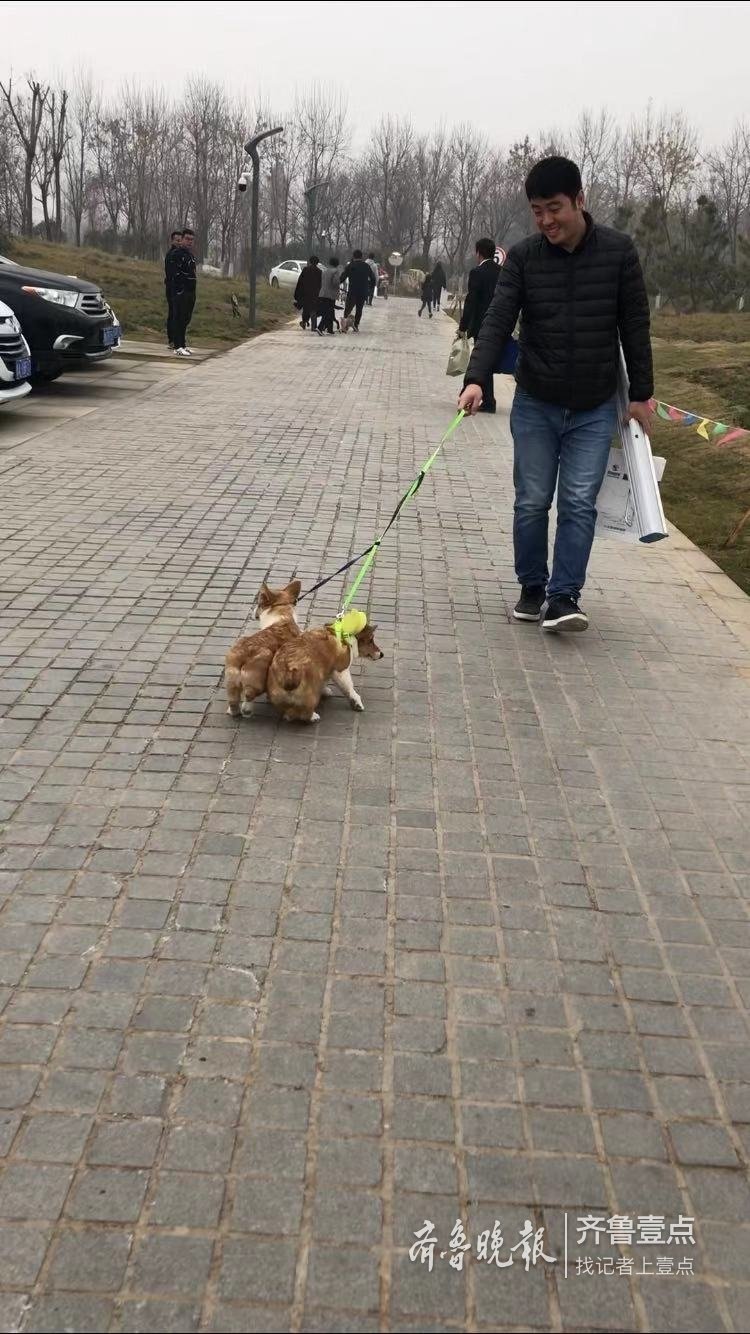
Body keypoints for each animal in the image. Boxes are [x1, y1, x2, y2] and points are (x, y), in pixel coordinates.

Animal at [224, 576, 300, 715]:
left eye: (259, 604)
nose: (254, 610)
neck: (281, 611)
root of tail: (242, 654)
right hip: (258, 678)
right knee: (249, 694)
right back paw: (247, 709)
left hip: (231, 680)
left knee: (233, 700)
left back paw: (233, 711)